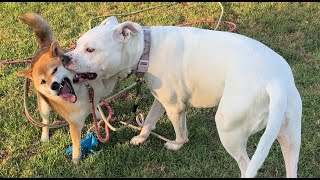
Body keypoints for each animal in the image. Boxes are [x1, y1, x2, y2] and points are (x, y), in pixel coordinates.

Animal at [17, 13, 117, 165]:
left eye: (54, 70)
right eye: (43, 81)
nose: (54, 85)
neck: (81, 94)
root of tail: (44, 48)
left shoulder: (98, 89)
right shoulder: (74, 124)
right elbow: (76, 143)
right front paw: (76, 158)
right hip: (44, 105)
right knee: (45, 121)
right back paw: (45, 135)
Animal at [62, 16, 302, 177]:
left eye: (90, 50)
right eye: (78, 43)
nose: (64, 58)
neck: (145, 49)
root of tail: (276, 83)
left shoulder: (174, 106)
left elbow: (180, 132)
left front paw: (176, 145)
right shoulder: (161, 100)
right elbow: (149, 120)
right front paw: (141, 138)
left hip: (229, 129)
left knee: (246, 164)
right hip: (289, 138)